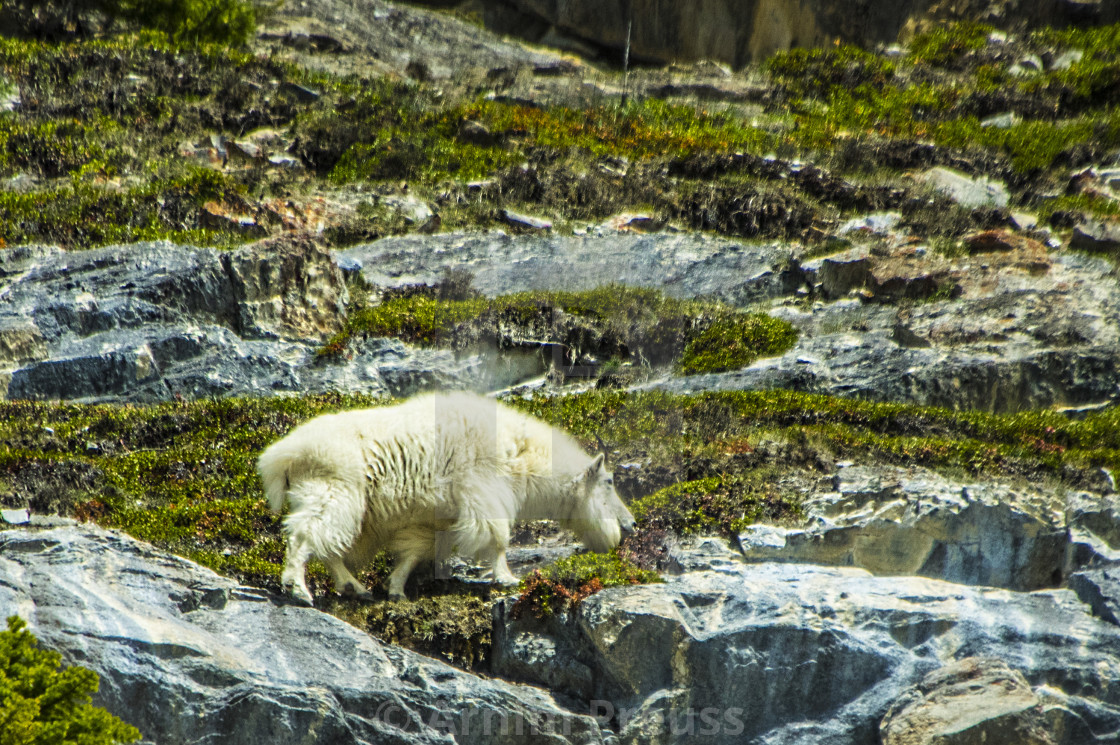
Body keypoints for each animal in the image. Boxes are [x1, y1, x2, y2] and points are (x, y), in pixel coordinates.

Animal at [256, 389, 636, 604]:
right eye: (609, 482)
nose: (630, 524)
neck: (523, 456)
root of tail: (281, 456)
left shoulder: (434, 516)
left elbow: (414, 551)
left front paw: (396, 588)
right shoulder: (483, 491)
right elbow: (497, 538)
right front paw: (507, 577)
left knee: (328, 544)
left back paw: (354, 587)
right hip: (335, 490)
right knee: (306, 535)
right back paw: (298, 588)